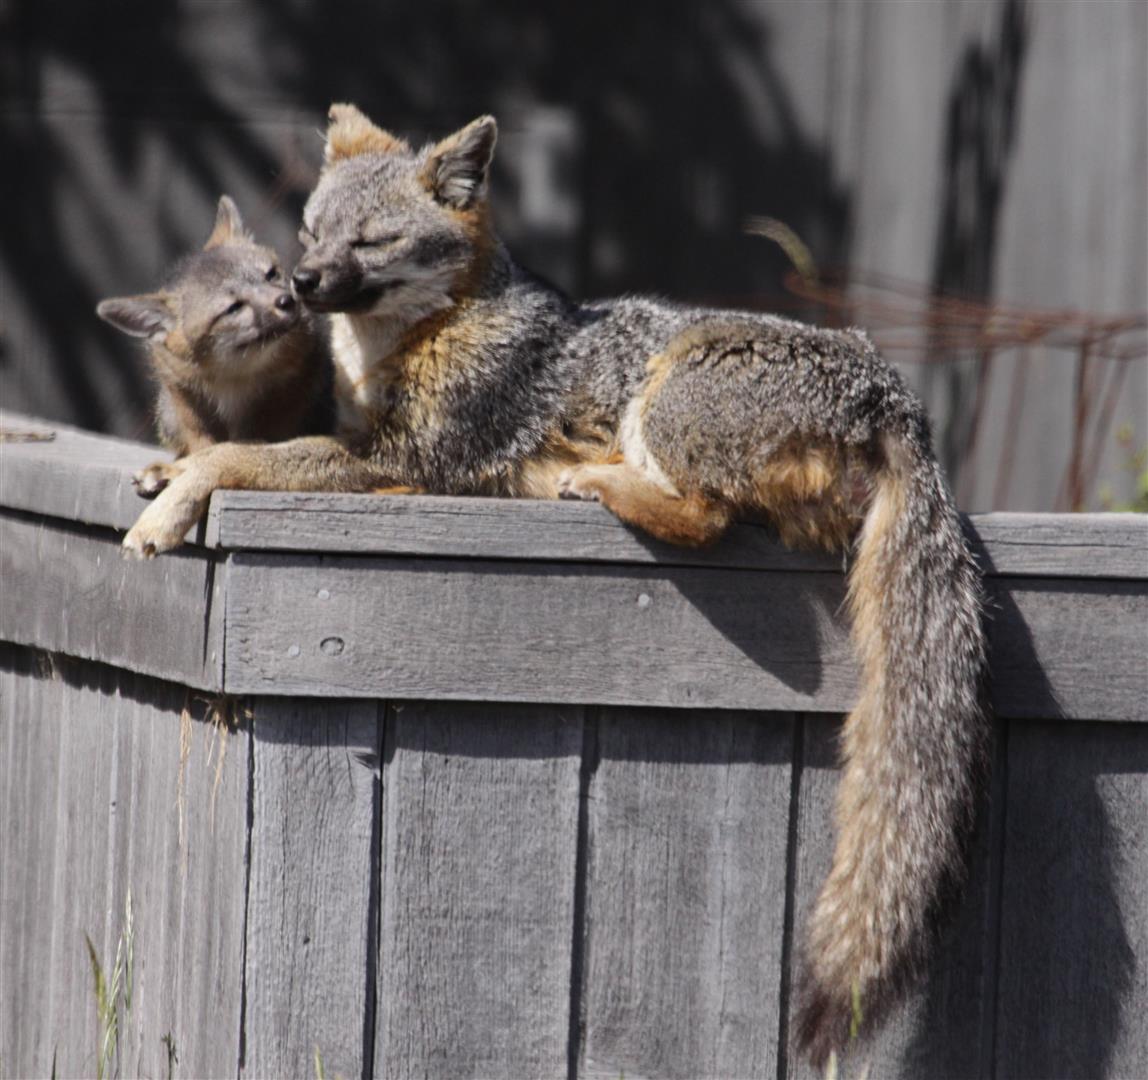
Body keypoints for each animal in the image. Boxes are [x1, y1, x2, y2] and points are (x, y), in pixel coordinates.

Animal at [98, 198, 332, 468]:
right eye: (233, 308)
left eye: (271, 274)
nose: (287, 301)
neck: (234, 373)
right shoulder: (182, 387)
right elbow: (200, 437)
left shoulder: (290, 383)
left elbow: (261, 435)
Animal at [123, 105, 987, 1065]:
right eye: (308, 237)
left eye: (372, 240)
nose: (301, 288)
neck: (416, 341)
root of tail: (897, 398)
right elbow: (239, 448)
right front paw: (166, 470)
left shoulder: (406, 459)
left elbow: (244, 455)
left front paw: (176, 505)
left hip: (667, 394)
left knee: (708, 519)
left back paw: (598, 482)